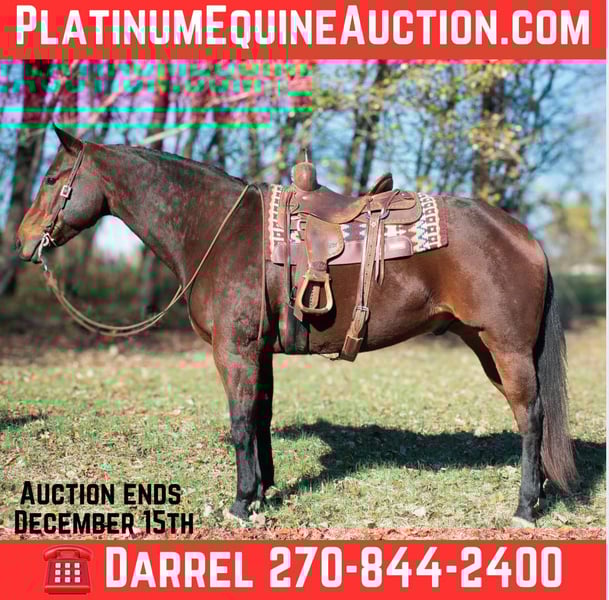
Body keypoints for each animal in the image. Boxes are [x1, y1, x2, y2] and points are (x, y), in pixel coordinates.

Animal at [16, 125, 576, 527]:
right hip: (488, 348)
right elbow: (260, 416)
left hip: (505, 348)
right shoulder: (259, 351)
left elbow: (240, 421)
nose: (22, 241)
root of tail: (522, 234)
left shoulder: (235, 351)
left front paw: (241, 502)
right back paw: (539, 494)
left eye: (50, 179)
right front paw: (263, 489)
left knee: (531, 417)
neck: (222, 231)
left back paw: (525, 508)